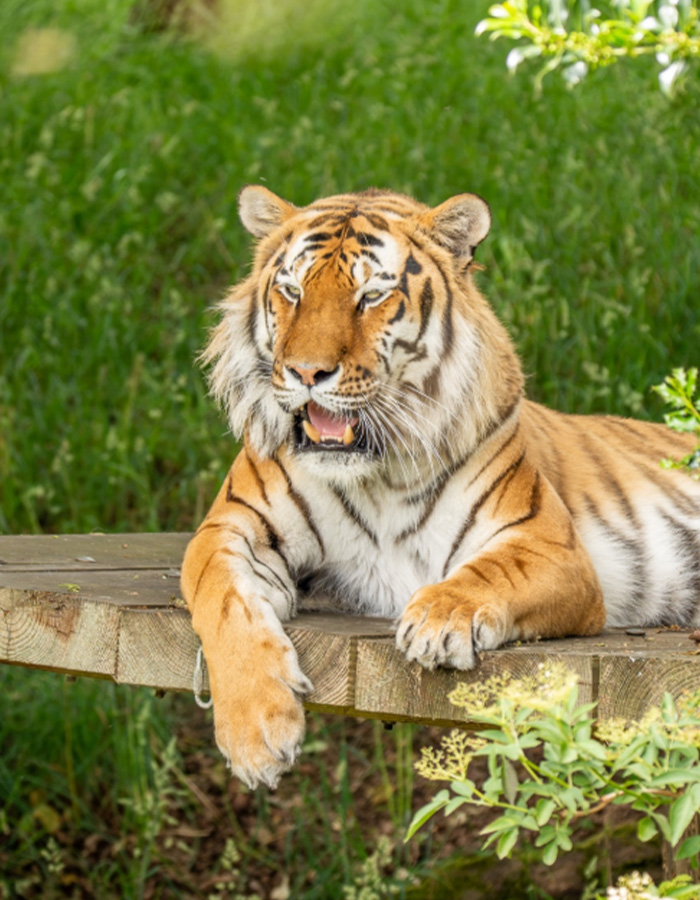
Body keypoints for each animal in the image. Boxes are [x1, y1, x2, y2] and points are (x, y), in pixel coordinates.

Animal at [181, 185, 700, 789]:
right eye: (292, 291)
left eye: (371, 296)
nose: (307, 373)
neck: (374, 473)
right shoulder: (229, 528)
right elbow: (222, 599)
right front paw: (256, 732)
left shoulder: (548, 543)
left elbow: (490, 571)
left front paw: (439, 619)